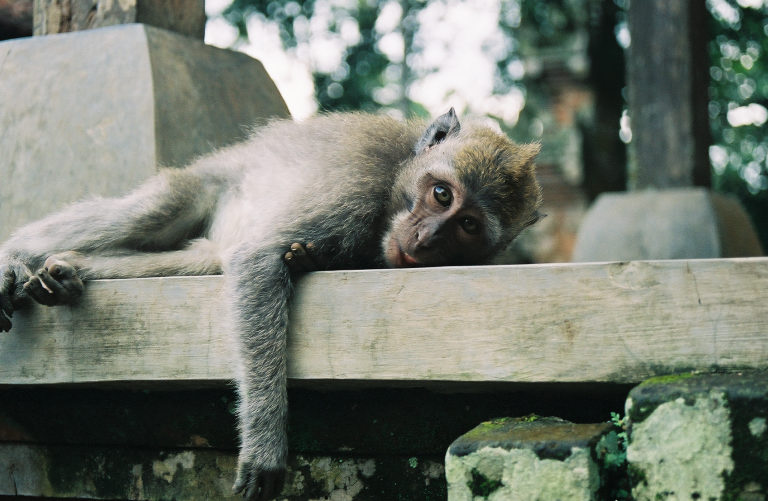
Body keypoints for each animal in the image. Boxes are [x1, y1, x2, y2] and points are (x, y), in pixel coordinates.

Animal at [0, 109, 542, 500]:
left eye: (467, 225)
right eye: (441, 193)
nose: (427, 239)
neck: (393, 190)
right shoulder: (354, 189)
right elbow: (258, 260)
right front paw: (264, 439)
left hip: (208, 243)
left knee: (205, 261)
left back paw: (65, 274)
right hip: (205, 187)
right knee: (151, 212)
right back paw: (16, 260)